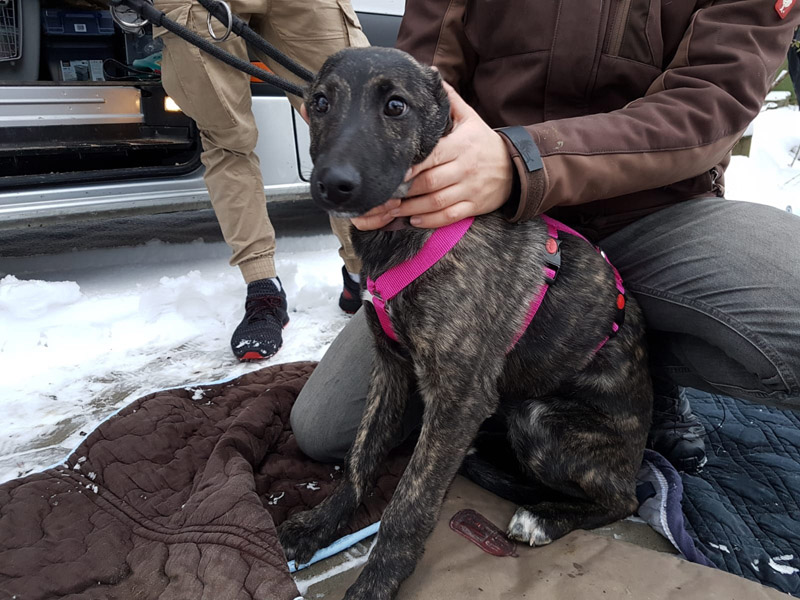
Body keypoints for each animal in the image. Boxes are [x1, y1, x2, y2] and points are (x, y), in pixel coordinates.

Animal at [278, 47, 653, 600]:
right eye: (320, 103)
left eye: (396, 106)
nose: (333, 185)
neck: (405, 233)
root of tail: (637, 452)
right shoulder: (391, 370)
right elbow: (361, 457)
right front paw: (320, 524)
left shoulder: (458, 400)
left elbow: (409, 502)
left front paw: (377, 581)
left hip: (540, 419)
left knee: (624, 501)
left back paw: (543, 518)